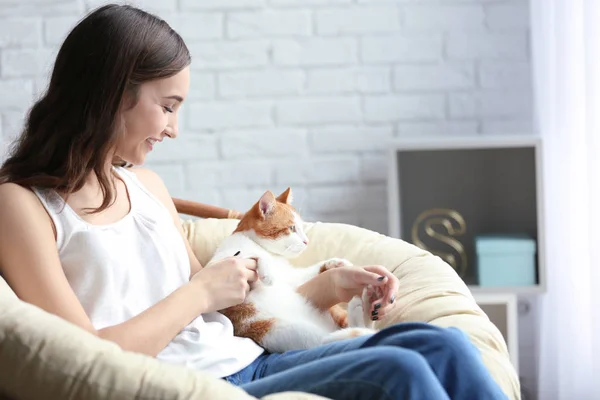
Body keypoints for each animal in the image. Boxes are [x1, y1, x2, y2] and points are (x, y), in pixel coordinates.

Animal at [206, 188, 376, 354]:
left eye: (301, 228)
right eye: (292, 228)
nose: (307, 241)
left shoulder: (291, 278)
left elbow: (309, 272)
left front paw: (336, 263)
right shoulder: (220, 264)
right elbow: (253, 256)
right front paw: (268, 273)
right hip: (288, 332)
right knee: (332, 340)